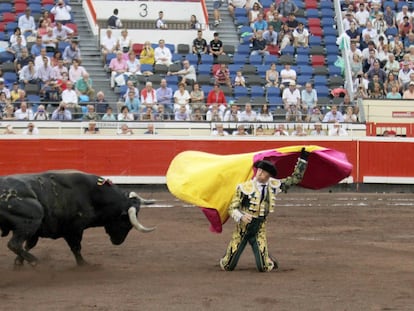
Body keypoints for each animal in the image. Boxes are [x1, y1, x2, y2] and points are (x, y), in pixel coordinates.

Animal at [0, 172, 155, 266]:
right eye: (126, 221)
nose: (118, 241)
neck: (91, 195)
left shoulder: (38, 231)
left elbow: (28, 245)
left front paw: (18, 264)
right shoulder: (73, 229)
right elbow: (76, 248)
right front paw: (84, 265)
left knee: (17, 244)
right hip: (33, 218)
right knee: (14, 244)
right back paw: (35, 262)